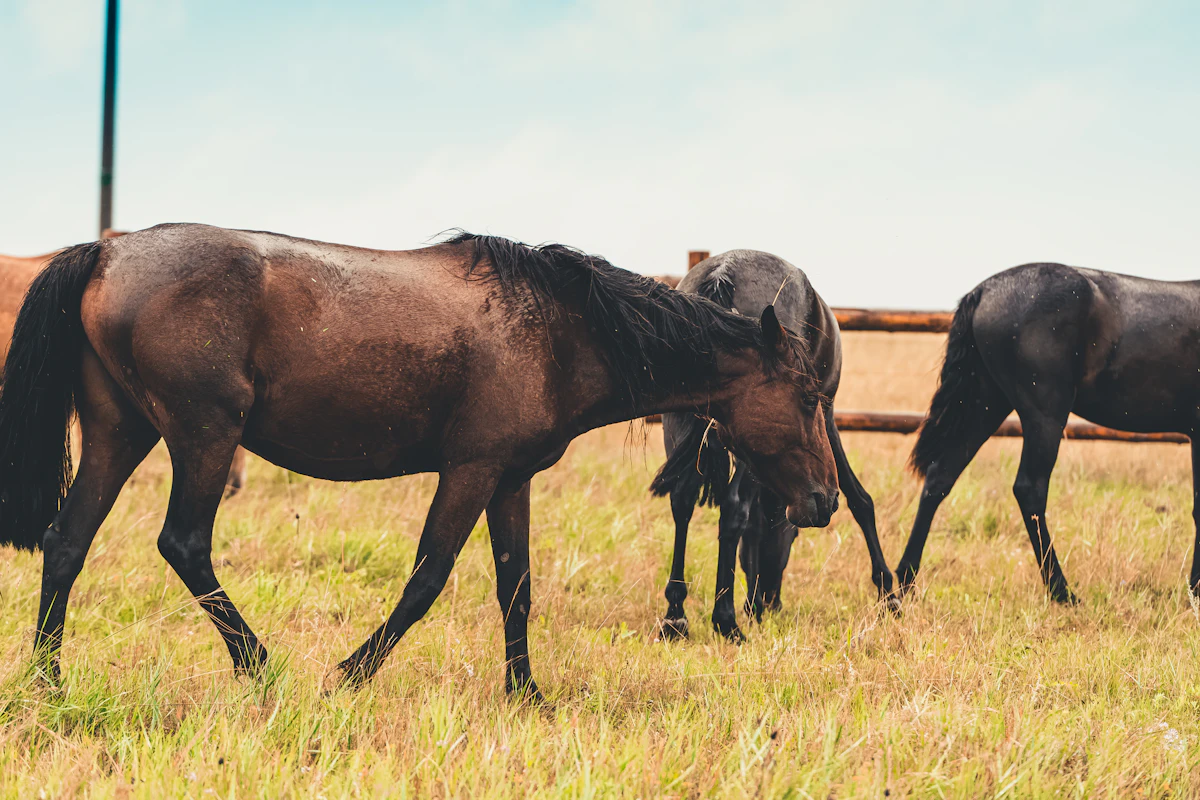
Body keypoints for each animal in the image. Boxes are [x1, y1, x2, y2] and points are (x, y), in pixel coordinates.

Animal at [650, 250, 894, 642]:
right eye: (791, 538)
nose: (768, 599)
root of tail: (724, 272)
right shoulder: (825, 416)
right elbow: (859, 498)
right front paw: (888, 591)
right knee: (733, 507)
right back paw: (725, 618)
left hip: (682, 424)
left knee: (682, 499)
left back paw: (676, 615)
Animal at [897, 262, 1200, 605]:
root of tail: (985, 291)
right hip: (1045, 416)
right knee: (1029, 489)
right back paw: (1062, 592)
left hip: (983, 405)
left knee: (940, 478)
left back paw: (903, 583)